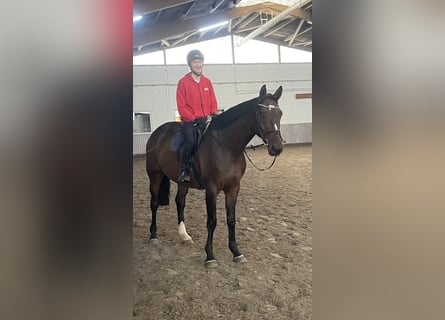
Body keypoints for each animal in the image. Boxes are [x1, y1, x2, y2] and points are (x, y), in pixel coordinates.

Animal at [147, 84, 284, 266]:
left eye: (280, 113)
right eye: (262, 113)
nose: (277, 148)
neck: (226, 147)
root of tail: (158, 132)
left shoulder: (233, 188)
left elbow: (231, 219)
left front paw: (236, 252)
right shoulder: (211, 189)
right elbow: (212, 221)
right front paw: (210, 256)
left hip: (183, 182)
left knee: (180, 202)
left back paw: (184, 236)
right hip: (155, 176)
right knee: (154, 203)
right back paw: (153, 236)